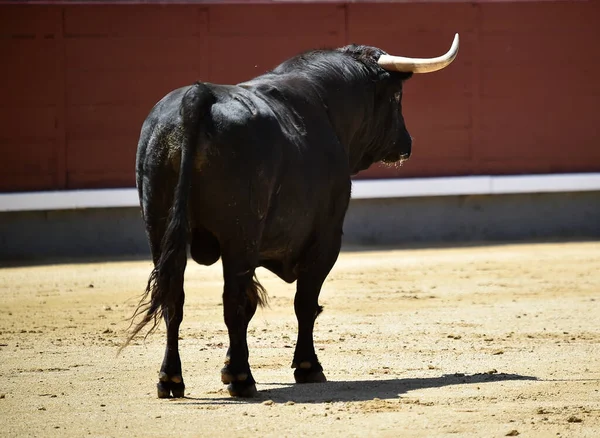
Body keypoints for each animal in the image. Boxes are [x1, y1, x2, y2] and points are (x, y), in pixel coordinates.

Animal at [127, 42, 454, 398]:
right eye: (396, 96)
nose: (406, 143)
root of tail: (197, 97)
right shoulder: (326, 237)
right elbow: (305, 302)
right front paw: (308, 366)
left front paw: (228, 365)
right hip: (240, 234)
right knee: (232, 298)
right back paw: (242, 378)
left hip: (158, 227)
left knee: (174, 296)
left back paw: (171, 378)